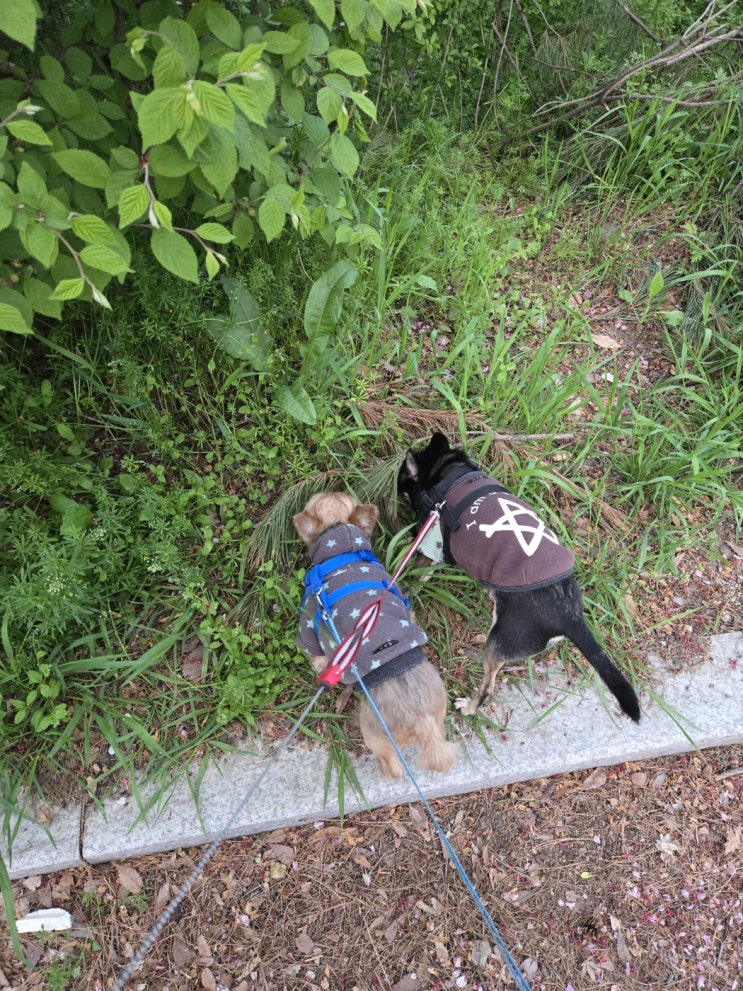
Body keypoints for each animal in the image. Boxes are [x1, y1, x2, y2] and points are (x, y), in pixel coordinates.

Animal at [294, 492, 460, 779]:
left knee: (392, 765)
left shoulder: (310, 623)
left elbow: (316, 656)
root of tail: (423, 721)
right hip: (439, 713)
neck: (342, 551)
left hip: (375, 734)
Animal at [398, 433, 640, 722]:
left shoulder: (432, 545)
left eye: (401, 479)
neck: (447, 475)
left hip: (497, 642)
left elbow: (416, 574)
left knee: (488, 687)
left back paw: (468, 707)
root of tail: (570, 616)